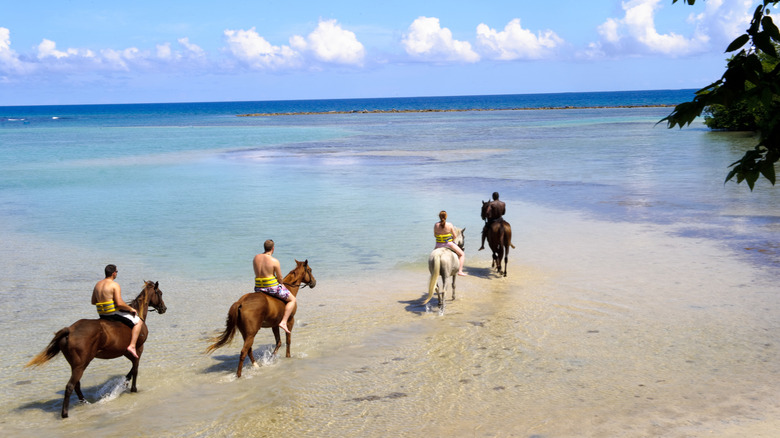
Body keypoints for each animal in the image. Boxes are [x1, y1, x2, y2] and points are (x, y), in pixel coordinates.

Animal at [27, 280, 166, 418]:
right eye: (160, 293)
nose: (164, 308)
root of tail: (70, 330)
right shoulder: (138, 349)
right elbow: (135, 369)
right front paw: (132, 389)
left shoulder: (126, 352)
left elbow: (131, 370)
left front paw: (124, 383)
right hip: (81, 364)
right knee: (70, 386)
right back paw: (65, 413)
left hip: (76, 365)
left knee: (76, 385)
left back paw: (85, 403)